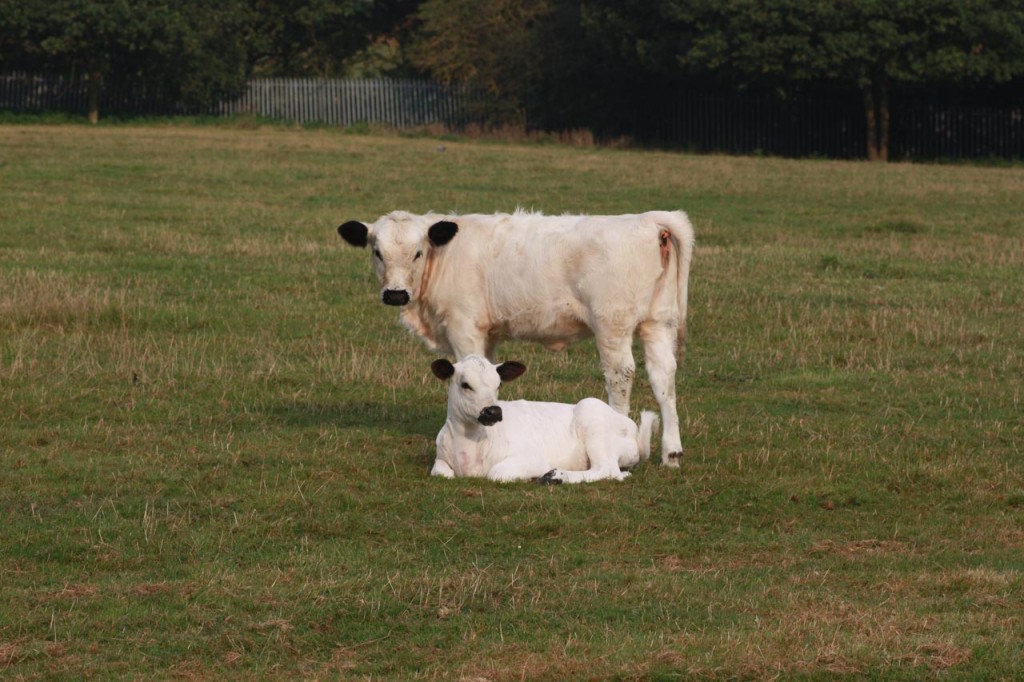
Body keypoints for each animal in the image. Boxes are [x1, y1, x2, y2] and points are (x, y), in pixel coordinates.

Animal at [337, 206, 696, 464]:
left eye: (417, 253)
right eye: (377, 252)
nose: (396, 294)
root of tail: (649, 220)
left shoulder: (464, 327)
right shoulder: (488, 335)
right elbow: (484, 371)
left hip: (613, 323)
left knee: (621, 374)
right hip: (657, 322)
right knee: (664, 376)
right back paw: (672, 451)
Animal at [430, 352, 655, 481]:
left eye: (498, 384)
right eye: (465, 384)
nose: (493, 411)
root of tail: (632, 429)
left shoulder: (531, 459)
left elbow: (496, 474)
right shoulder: (440, 458)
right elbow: (441, 473)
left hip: (594, 422)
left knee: (607, 469)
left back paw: (555, 476)